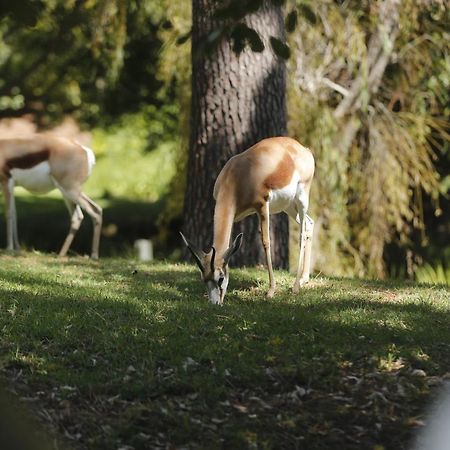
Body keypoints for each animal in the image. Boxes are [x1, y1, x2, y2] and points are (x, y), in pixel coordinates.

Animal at [181, 136, 314, 306]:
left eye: (220, 278)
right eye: (204, 279)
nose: (215, 304)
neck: (236, 177)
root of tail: (303, 148)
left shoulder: (262, 206)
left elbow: (266, 242)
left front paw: (271, 290)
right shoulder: (235, 216)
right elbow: (230, 249)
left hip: (301, 199)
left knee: (302, 234)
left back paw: (296, 286)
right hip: (288, 206)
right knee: (310, 224)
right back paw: (304, 279)